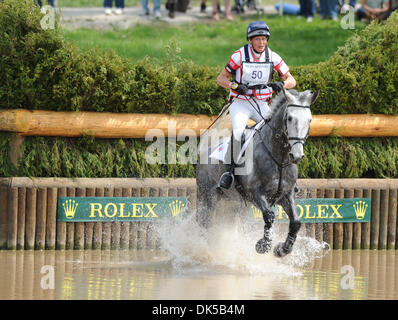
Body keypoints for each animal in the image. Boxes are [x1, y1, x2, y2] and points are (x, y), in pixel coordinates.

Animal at [197, 89, 320, 258]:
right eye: (289, 118)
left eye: (309, 120)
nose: (296, 156)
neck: (279, 158)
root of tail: (205, 152)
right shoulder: (254, 193)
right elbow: (269, 216)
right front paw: (263, 245)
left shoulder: (286, 194)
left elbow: (295, 222)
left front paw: (282, 249)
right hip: (207, 196)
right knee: (204, 222)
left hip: (236, 204)